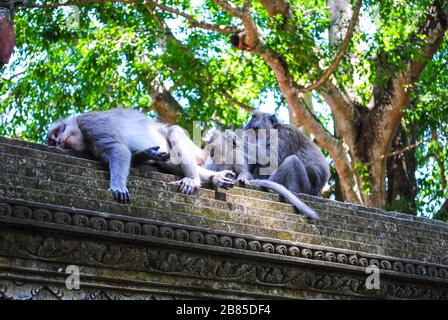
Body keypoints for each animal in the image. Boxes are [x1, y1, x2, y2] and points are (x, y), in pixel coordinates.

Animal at [48, 107, 236, 202]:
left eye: (57, 133)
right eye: (53, 141)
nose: (58, 142)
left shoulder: (90, 122)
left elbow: (118, 149)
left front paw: (117, 185)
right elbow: (127, 153)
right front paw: (147, 153)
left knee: (174, 133)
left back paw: (194, 180)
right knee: (167, 162)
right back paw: (216, 177)